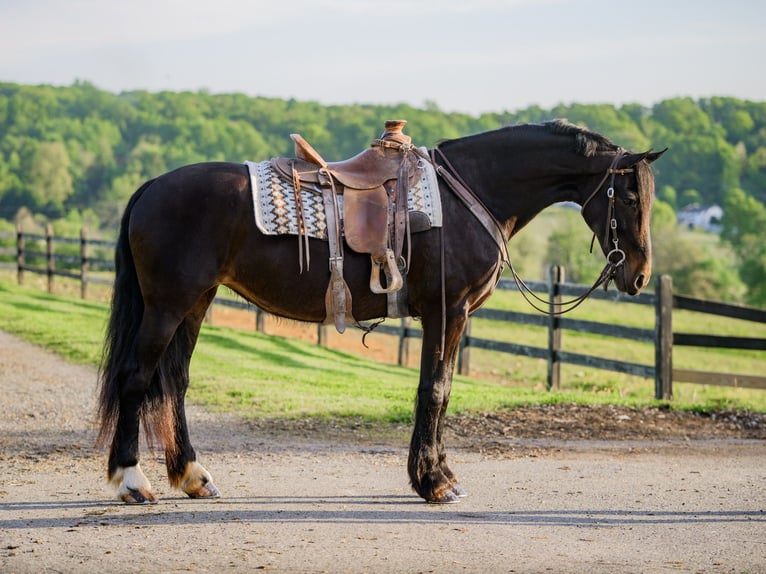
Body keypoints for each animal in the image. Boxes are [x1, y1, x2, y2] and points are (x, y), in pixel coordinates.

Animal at [97, 120, 665, 504]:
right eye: (628, 197)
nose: (638, 275)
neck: (472, 193)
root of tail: (151, 187)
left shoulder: (453, 317)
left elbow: (442, 390)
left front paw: (440, 475)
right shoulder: (447, 311)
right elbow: (434, 390)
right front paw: (433, 482)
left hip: (195, 303)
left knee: (175, 383)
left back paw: (194, 476)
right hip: (168, 306)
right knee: (136, 378)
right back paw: (132, 481)